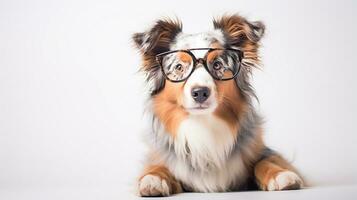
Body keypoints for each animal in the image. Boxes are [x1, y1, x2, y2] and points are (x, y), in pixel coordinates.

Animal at [132, 14, 302, 197]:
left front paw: (281, 175)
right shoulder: (160, 156)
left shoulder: (261, 149)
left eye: (217, 64)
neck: (203, 125)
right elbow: (156, 166)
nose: (200, 92)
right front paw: (153, 179)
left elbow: (265, 161)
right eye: (179, 67)